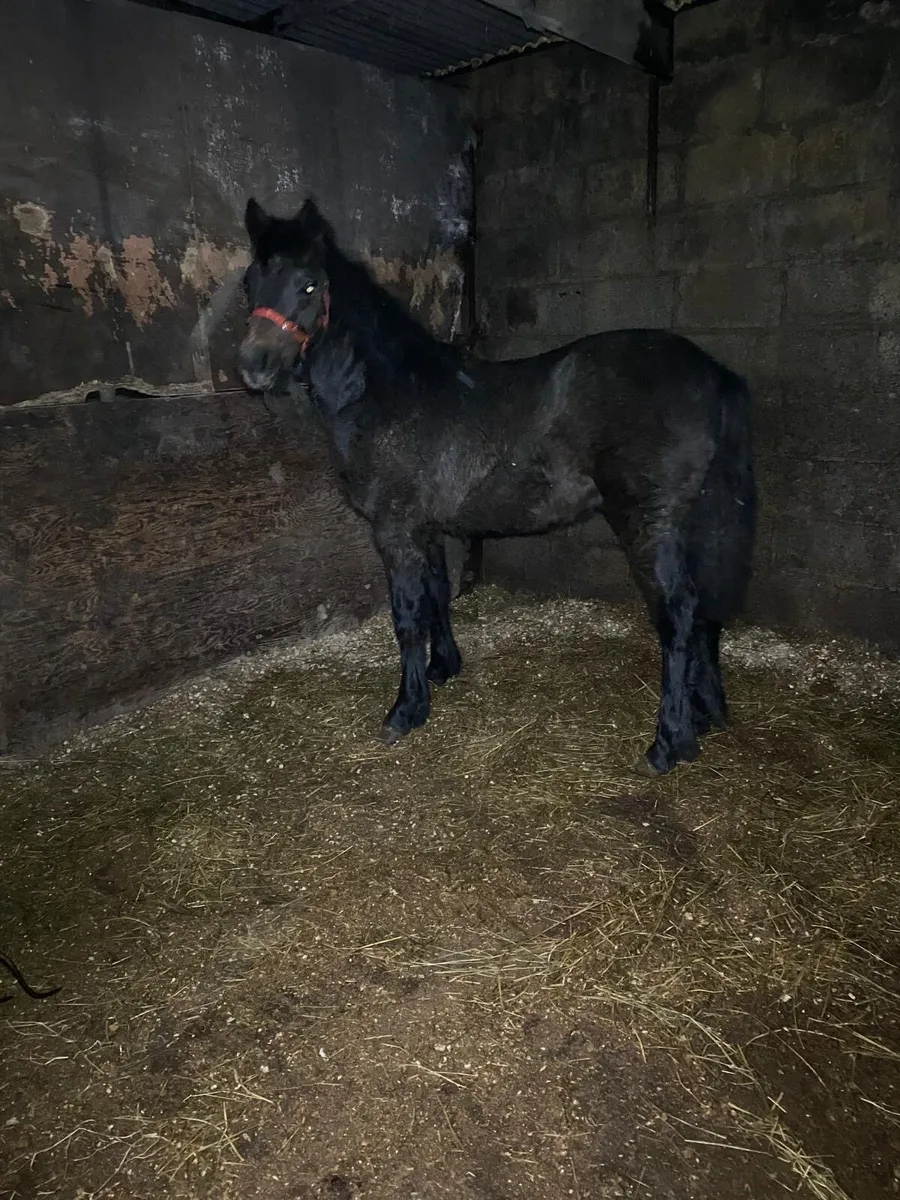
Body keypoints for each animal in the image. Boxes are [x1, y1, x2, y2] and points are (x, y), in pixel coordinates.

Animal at [237, 197, 756, 778]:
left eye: (308, 285)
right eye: (250, 282)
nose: (254, 366)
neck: (389, 391)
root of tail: (713, 374)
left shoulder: (394, 530)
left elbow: (407, 616)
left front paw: (406, 710)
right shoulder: (425, 528)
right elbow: (438, 595)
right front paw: (443, 669)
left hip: (649, 523)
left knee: (678, 614)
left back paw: (668, 742)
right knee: (704, 611)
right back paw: (705, 715)